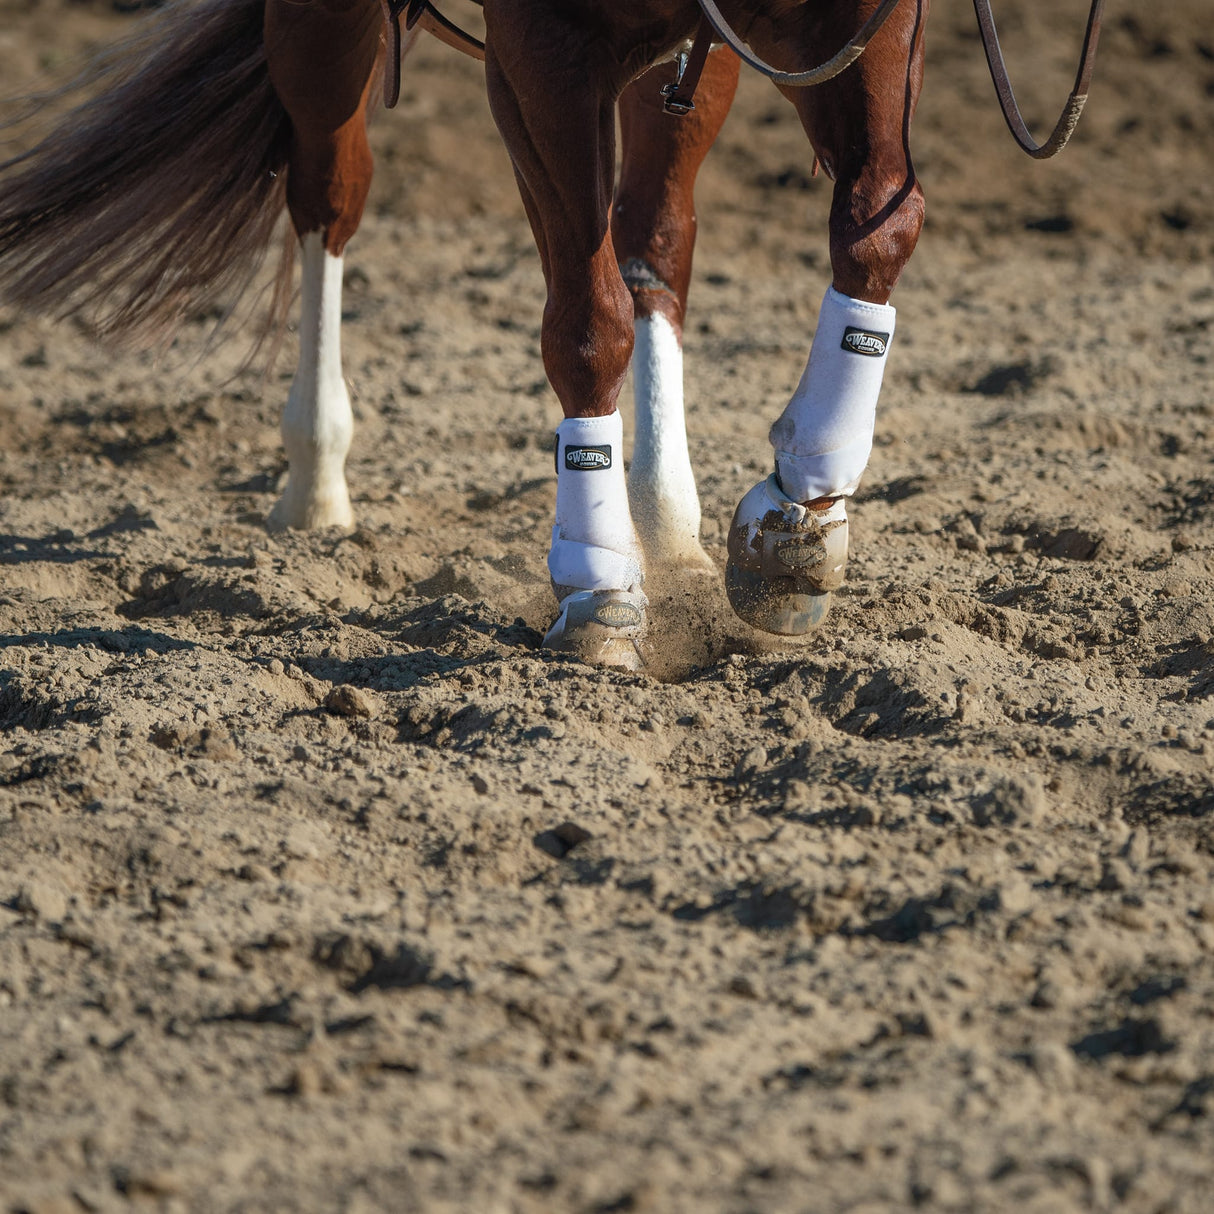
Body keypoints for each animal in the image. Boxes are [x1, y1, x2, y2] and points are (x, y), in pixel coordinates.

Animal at [0, 0, 1101, 670]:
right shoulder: (544, 55)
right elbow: (584, 322)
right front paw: (599, 583)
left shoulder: (856, 27)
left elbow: (878, 225)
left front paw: (799, 514)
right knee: (329, 194)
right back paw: (316, 482)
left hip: (687, 66)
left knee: (654, 240)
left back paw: (667, 519)